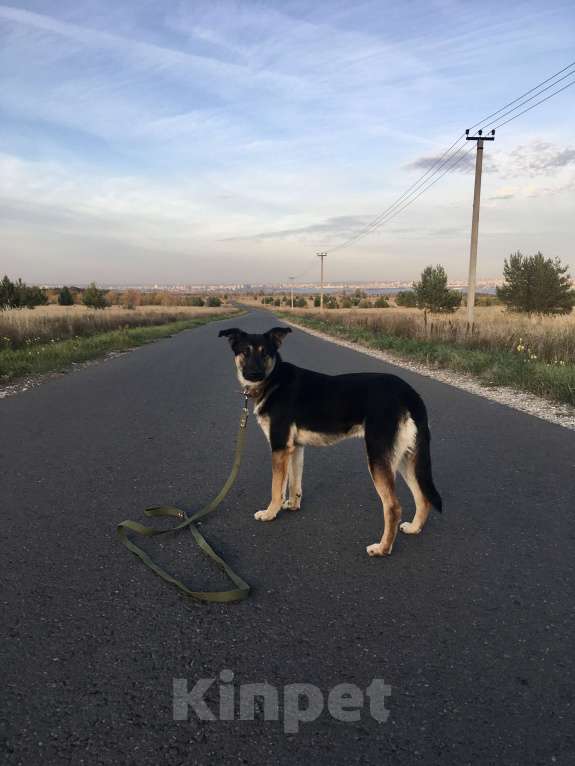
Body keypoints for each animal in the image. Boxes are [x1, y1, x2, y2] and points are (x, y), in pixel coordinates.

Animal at [218, 326, 444, 560]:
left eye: (265, 353)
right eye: (245, 352)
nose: (254, 374)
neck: (274, 381)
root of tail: (409, 393)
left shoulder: (279, 448)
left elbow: (276, 488)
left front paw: (270, 512)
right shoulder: (294, 448)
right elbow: (294, 482)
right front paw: (293, 504)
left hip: (379, 458)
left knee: (393, 507)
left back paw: (382, 548)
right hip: (405, 459)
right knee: (422, 497)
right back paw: (414, 528)